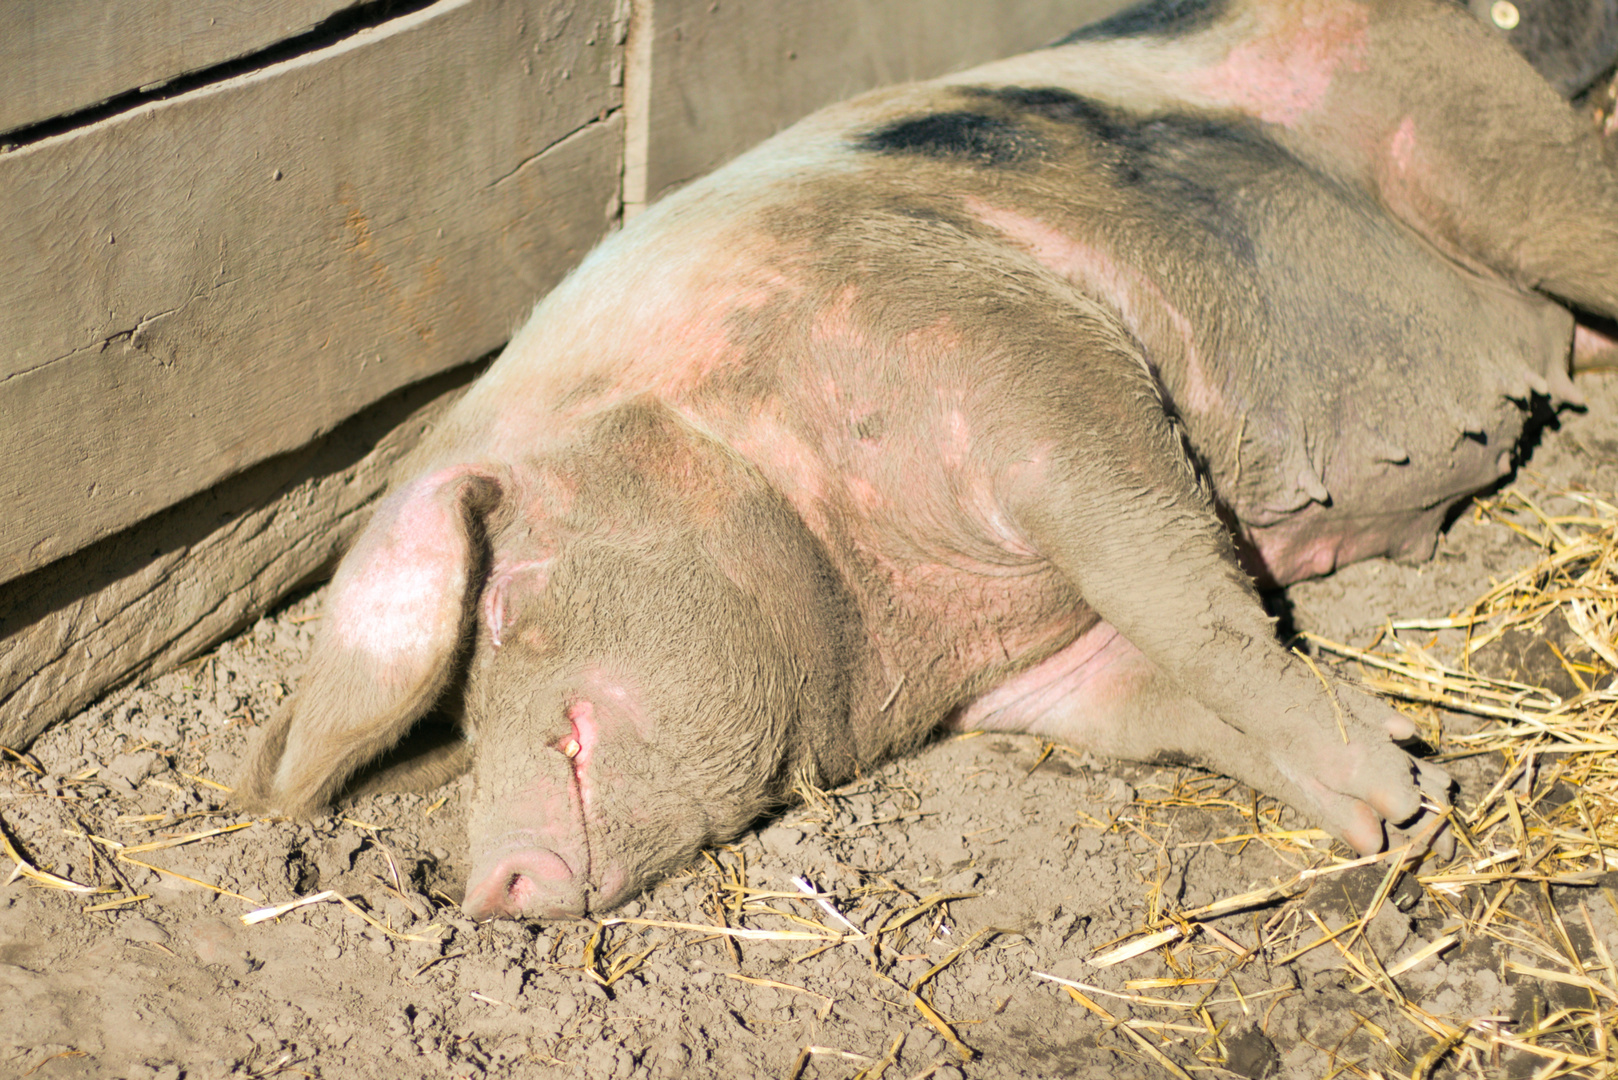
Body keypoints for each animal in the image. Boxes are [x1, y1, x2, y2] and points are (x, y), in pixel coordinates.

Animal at [234, 0, 1611, 919]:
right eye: (458, 713)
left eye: (506, 608)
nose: (487, 886)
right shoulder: (1038, 680)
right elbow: (1163, 696)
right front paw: (1394, 796)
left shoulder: (1028, 365)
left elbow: (1185, 600)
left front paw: (1399, 790)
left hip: (1501, 154)